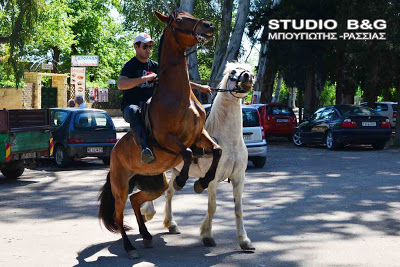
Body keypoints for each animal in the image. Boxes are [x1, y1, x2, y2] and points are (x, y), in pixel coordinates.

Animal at [98, 10, 220, 260]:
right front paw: (184, 180)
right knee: (118, 214)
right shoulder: (168, 139)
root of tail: (113, 154)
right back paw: (129, 247)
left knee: (135, 200)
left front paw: (202, 181)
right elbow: (187, 152)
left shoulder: (199, 134)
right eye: (179, 20)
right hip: (120, 187)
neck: (178, 97)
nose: (208, 25)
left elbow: (216, 150)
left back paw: (145, 235)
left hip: (155, 185)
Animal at [142, 62, 255, 251]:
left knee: (169, 193)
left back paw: (171, 224)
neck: (229, 141)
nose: (248, 76)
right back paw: (147, 213)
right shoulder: (212, 180)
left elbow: (238, 209)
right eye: (233, 71)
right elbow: (212, 207)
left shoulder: (239, 178)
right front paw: (207, 235)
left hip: (176, 171)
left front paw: (244, 240)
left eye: (249, 71)